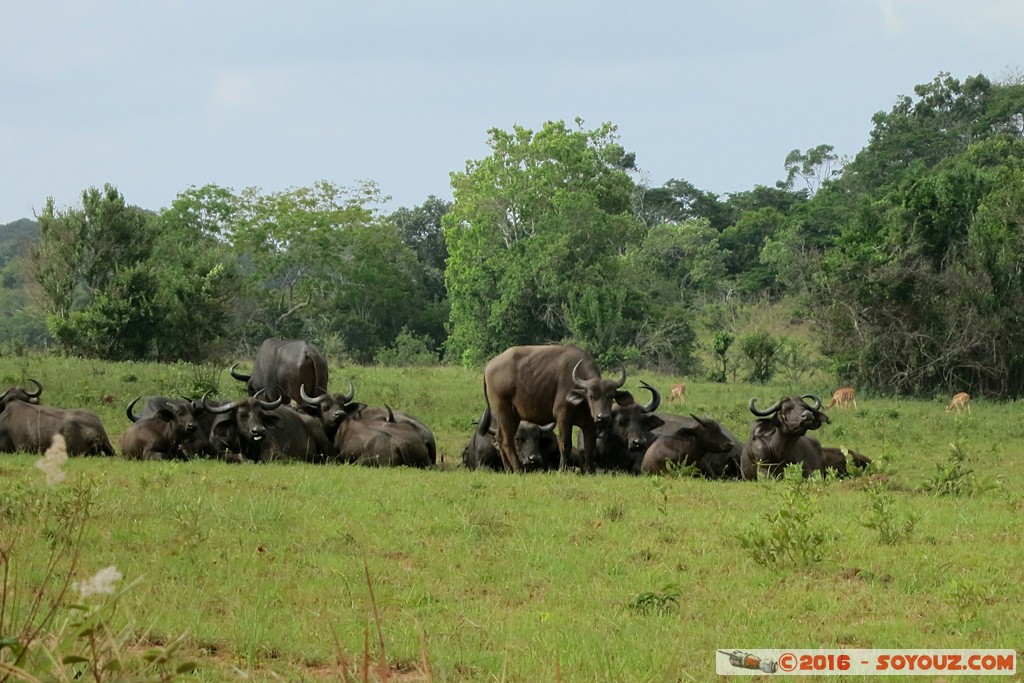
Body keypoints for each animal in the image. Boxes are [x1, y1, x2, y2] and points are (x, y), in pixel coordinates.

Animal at [483, 344, 626, 473]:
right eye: (591, 396)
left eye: (611, 396)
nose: (603, 417)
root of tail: (489, 365)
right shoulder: (563, 418)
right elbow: (565, 444)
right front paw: (562, 469)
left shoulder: (590, 423)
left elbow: (589, 445)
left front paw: (590, 471)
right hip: (503, 409)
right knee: (507, 440)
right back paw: (518, 469)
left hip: (514, 415)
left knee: (500, 437)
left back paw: (509, 469)